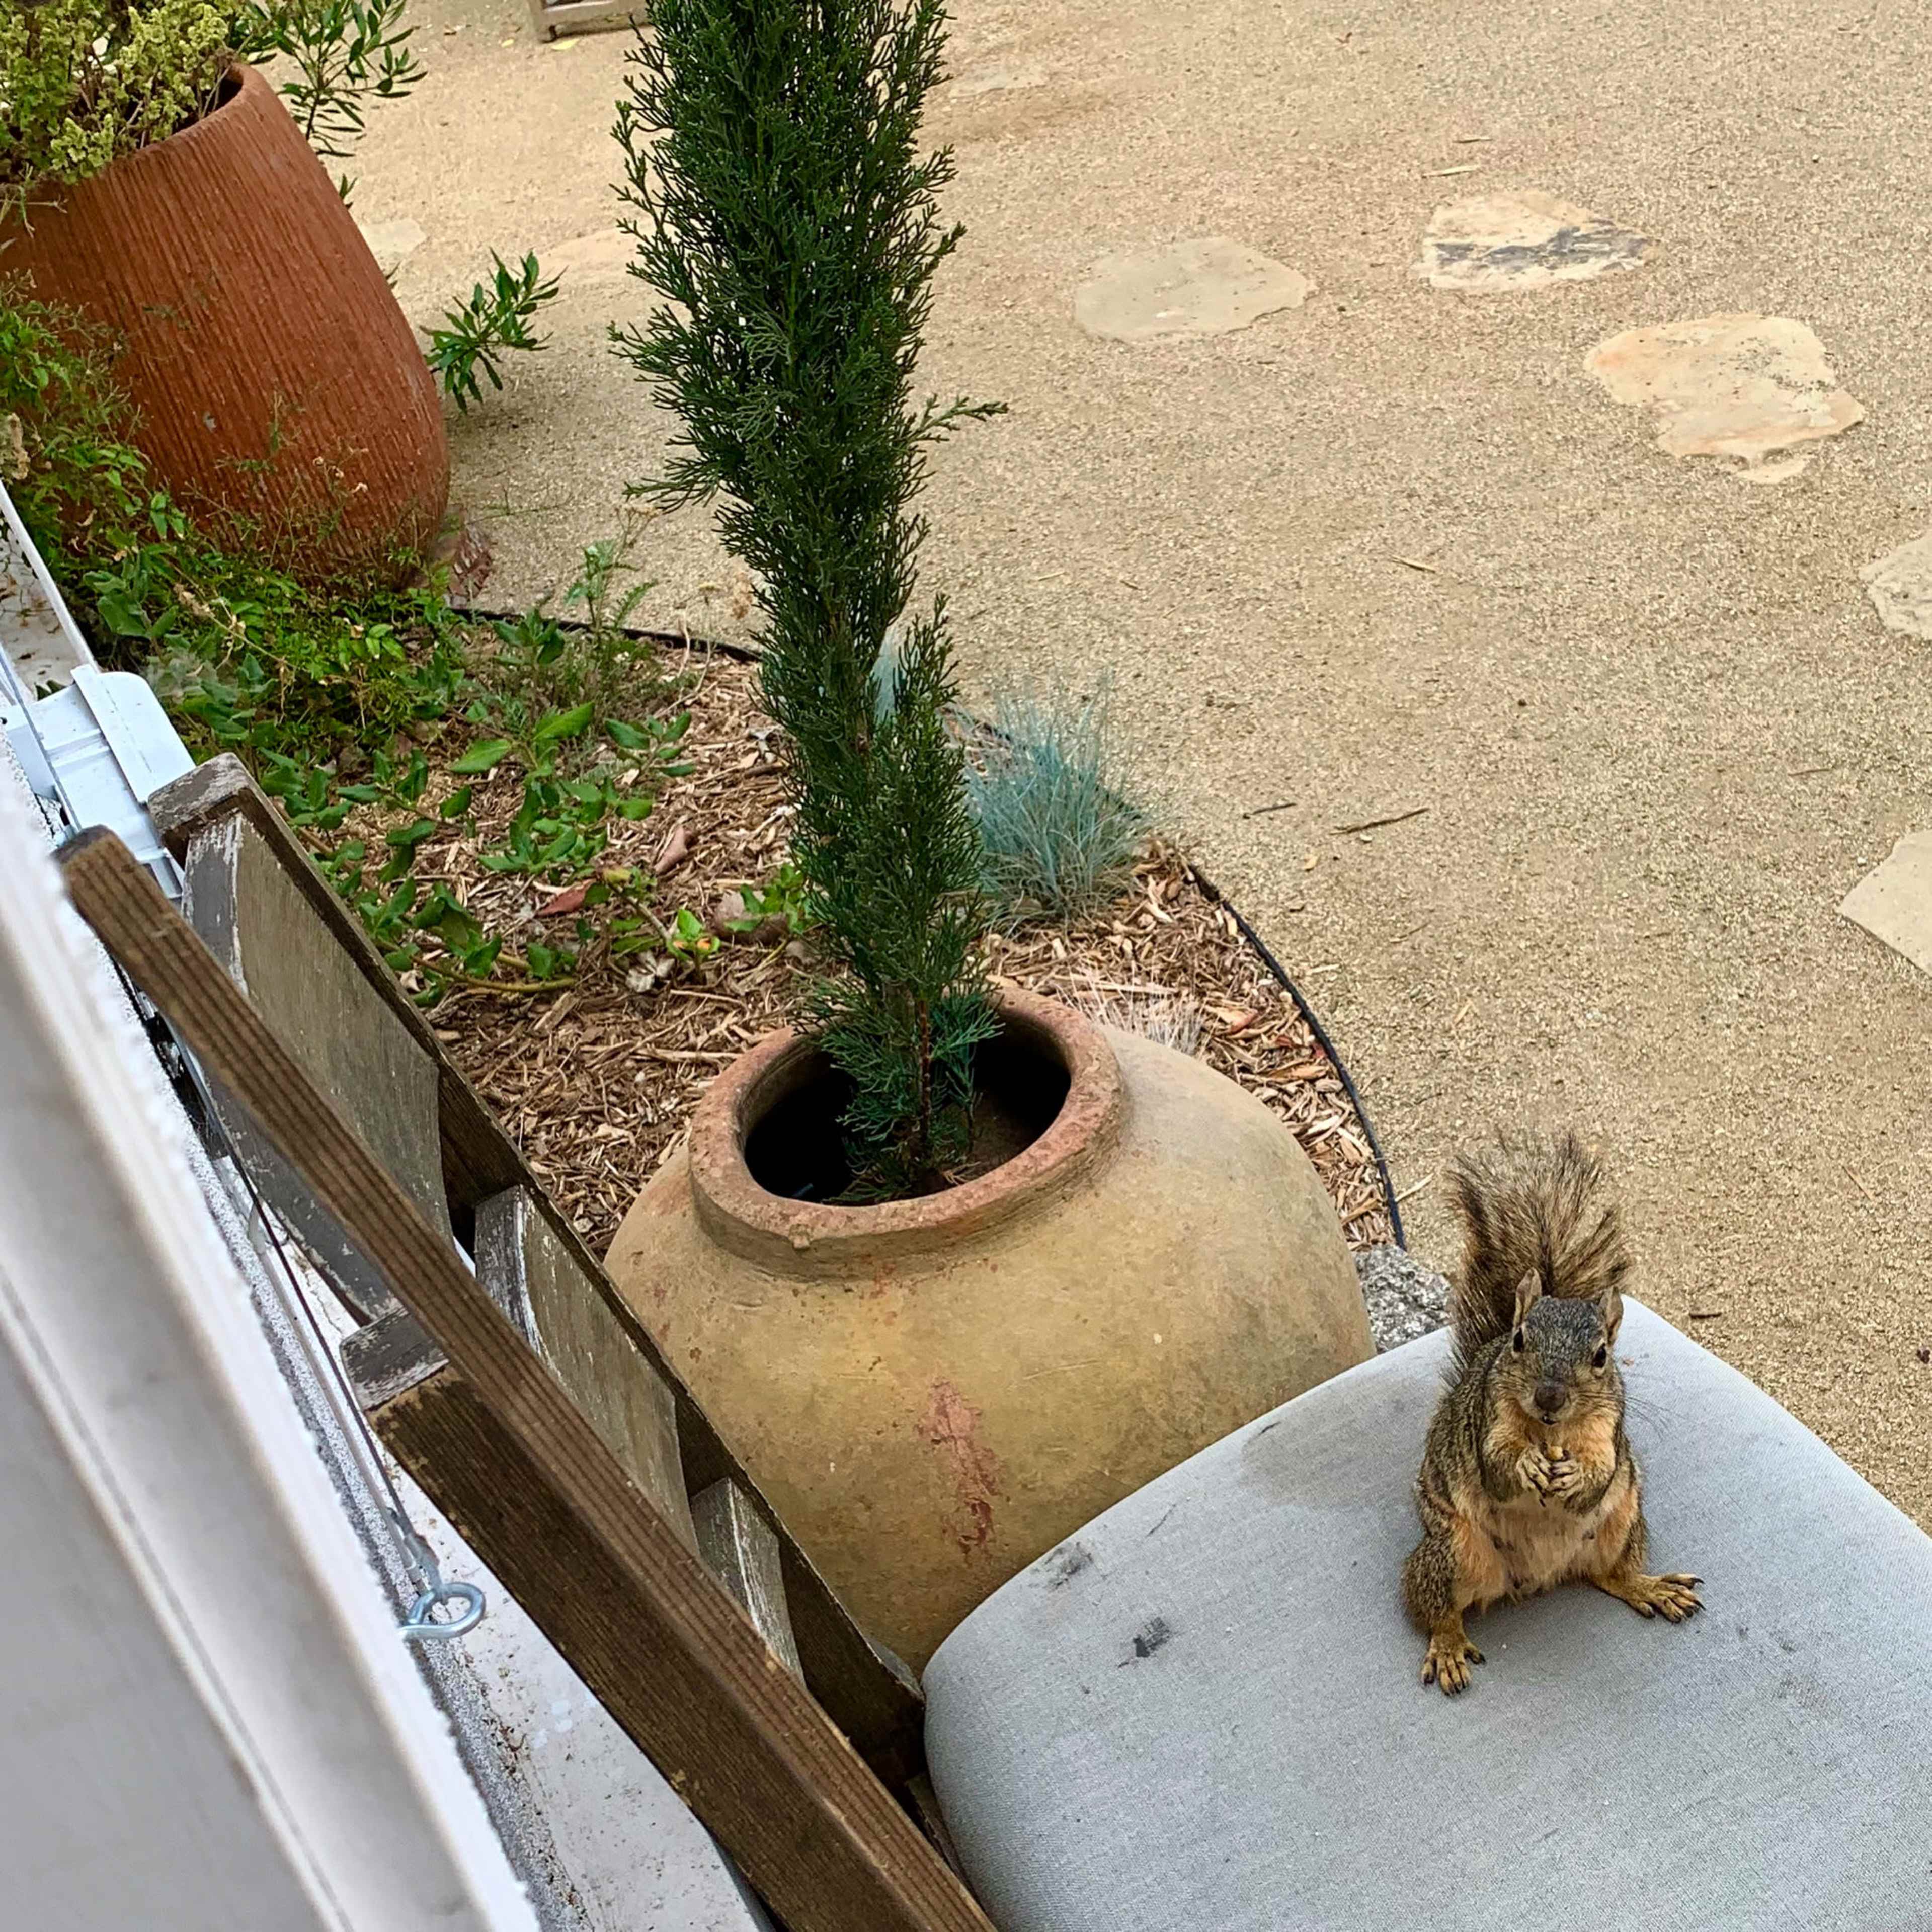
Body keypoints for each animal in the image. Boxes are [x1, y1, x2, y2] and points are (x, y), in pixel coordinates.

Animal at [1402, 1131, 1702, 1694]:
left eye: (1602, 1356)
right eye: (1520, 1341)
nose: (1549, 1397)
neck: (1550, 1433)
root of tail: (1536, 1579)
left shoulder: (1609, 1431)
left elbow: (1600, 1475)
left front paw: (1573, 1476)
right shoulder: (1487, 1419)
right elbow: (1498, 1470)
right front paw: (1527, 1466)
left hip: (1621, 1525)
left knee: (1609, 1575)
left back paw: (1650, 1587)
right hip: (1454, 1551)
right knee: (1429, 1605)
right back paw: (1448, 1645)